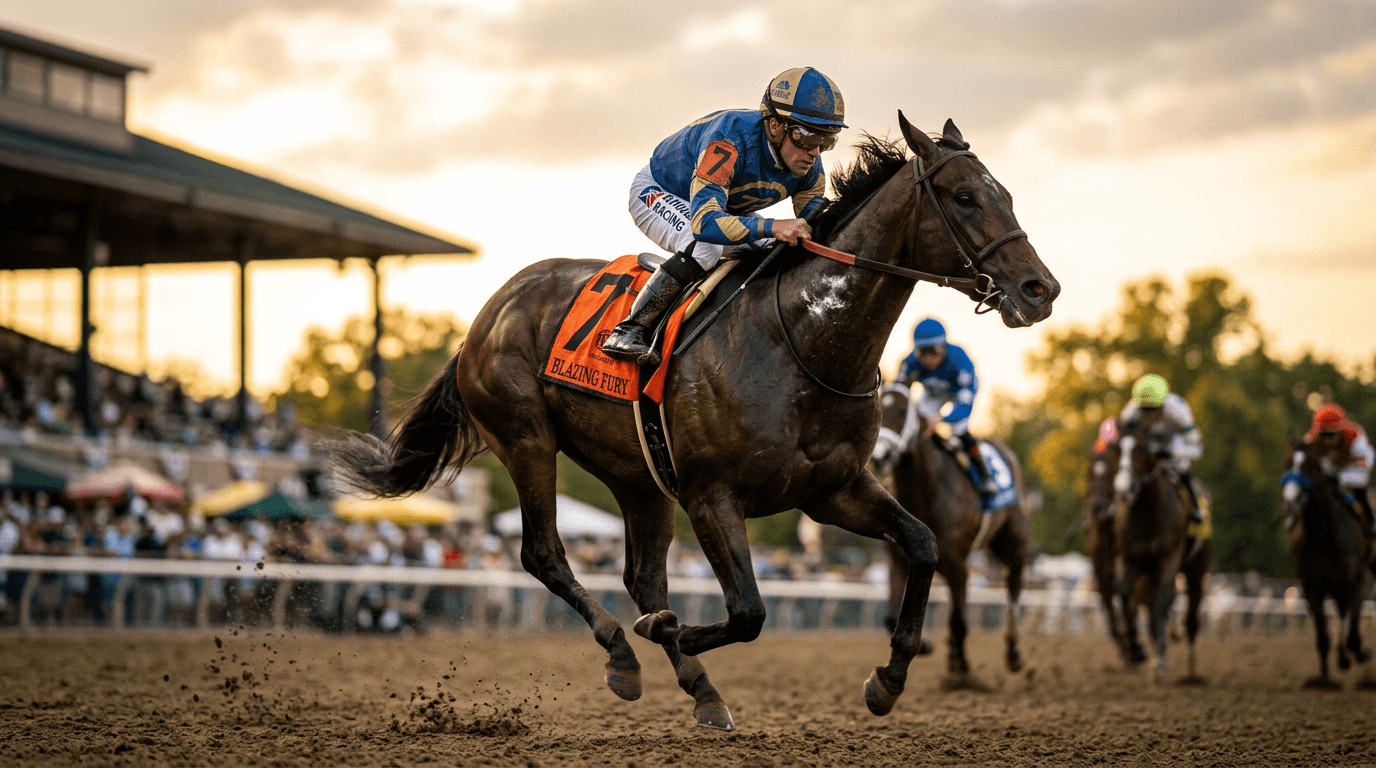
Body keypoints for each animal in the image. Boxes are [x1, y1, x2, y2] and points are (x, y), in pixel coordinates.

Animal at [870, 383, 1031, 685]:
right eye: (879, 408)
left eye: (901, 411)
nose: (879, 456)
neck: (926, 495)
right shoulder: (899, 562)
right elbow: (890, 617)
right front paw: (926, 646)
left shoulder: (960, 566)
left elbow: (958, 621)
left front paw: (963, 669)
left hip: (1014, 544)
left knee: (1013, 590)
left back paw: (1013, 653)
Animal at [1109, 420, 1211, 680]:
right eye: (1117, 450)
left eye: (1142, 450)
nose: (1122, 488)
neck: (1146, 513)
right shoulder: (1129, 558)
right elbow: (1127, 599)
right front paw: (1136, 650)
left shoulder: (1169, 558)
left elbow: (1164, 601)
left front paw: (1161, 659)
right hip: (1148, 573)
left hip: (1197, 567)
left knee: (1191, 617)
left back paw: (1190, 670)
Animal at [1281, 437, 1373, 688]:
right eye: (1287, 462)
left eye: (1309, 467)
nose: (1289, 502)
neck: (1323, 537)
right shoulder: (1312, 588)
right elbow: (1323, 635)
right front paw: (1323, 680)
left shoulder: (1355, 583)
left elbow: (1353, 633)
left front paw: (1361, 653)